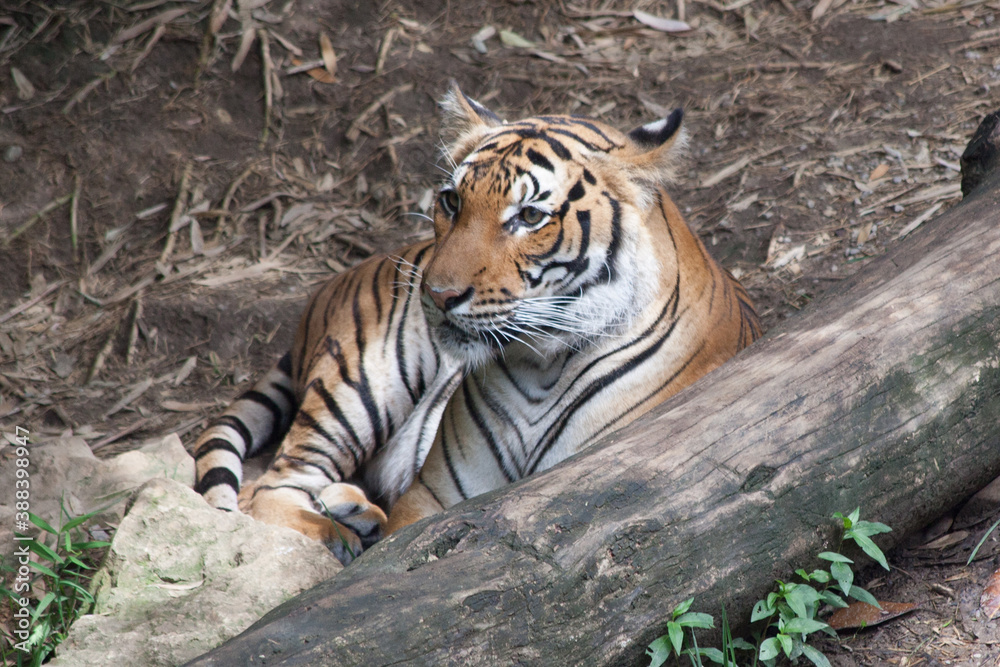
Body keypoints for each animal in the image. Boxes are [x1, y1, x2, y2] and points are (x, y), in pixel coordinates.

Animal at [191, 82, 760, 564]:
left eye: (529, 217)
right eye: (452, 201)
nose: (438, 294)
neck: (542, 365)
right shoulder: (435, 496)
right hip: (363, 379)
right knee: (272, 485)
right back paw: (338, 532)